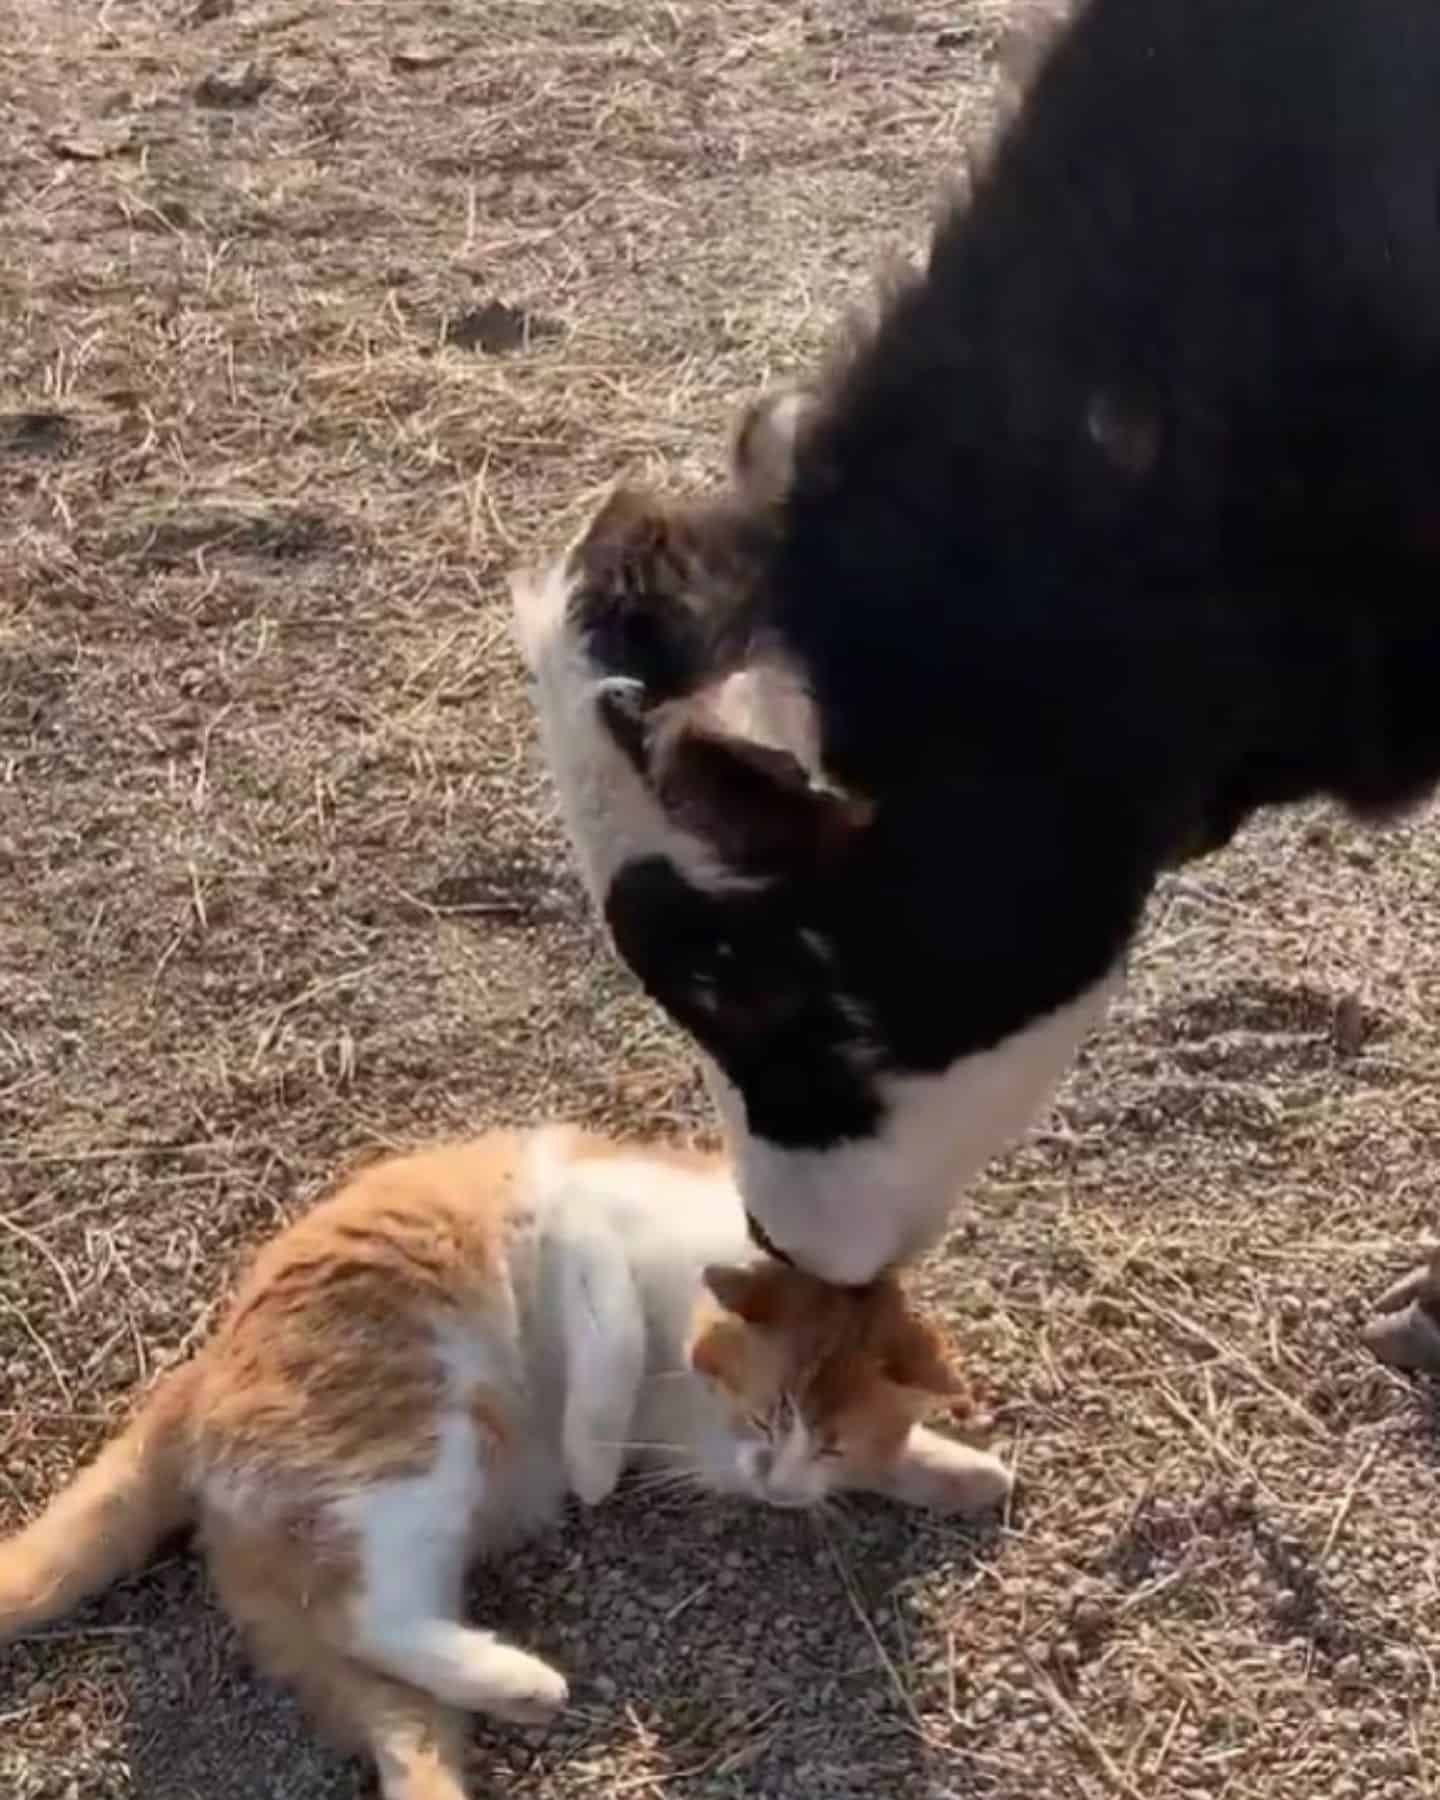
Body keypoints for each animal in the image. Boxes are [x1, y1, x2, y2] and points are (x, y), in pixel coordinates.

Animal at [0, 1123, 1015, 1800]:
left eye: (831, 1443)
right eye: (768, 1415)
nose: (777, 1486)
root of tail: (194, 1375)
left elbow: (897, 1455)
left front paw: (959, 1472)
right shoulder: (577, 1226)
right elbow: (608, 1345)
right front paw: (594, 1462)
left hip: (383, 1583)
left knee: (393, 1693)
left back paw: (497, 1688)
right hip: (421, 1451)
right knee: (364, 1616)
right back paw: (530, 1679)